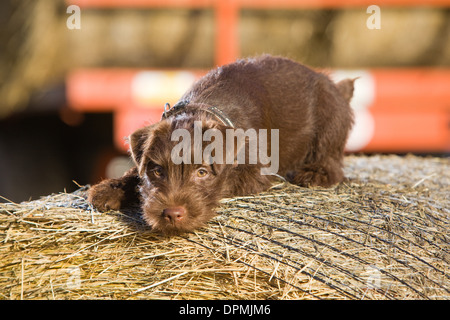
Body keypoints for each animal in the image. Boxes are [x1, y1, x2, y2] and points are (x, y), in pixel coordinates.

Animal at [88, 55, 356, 235]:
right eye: (157, 171)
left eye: (202, 172)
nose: (172, 214)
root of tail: (335, 86)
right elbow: (135, 171)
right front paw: (110, 188)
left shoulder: (255, 174)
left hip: (330, 118)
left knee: (332, 163)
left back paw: (313, 174)